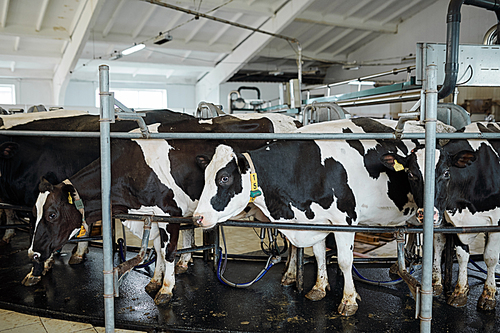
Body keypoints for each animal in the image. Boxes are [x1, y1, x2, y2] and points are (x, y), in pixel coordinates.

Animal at [29, 113, 298, 304]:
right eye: (34, 213)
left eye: (52, 214)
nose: (32, 253)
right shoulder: (152, 215)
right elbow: (157, 249)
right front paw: (155, 281)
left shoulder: (171, 214)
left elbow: (168, 251)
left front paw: (166, 289)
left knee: (295, 242)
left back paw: (292, 276)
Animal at [192, 118, 430, 316]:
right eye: (205, 176)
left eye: (224, 178)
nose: (198, 217)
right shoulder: (316, 221)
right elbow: (318, 255)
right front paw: (319, 287)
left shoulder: (345, 220)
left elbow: (345, 261)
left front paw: (349, 300)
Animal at [404, 122, 500, 312]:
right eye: (411, 174)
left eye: (446, 173)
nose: (426, 213)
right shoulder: (454, 222)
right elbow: (460, 254)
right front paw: (459, 291)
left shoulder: (496, 222)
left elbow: (490, 257)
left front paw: (489, 296)